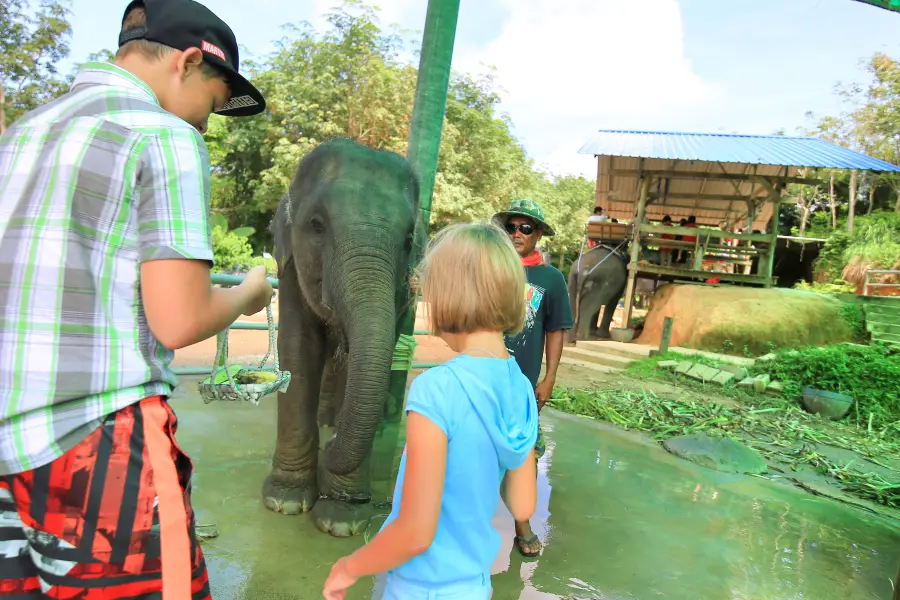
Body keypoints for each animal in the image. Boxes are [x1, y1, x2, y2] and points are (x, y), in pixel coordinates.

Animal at [262, 138, 420, 536]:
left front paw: (341, 521)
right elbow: (299, 349)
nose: (331, 446)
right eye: (316, 225)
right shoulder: (291, 270)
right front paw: (284, 502)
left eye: (409, 239)